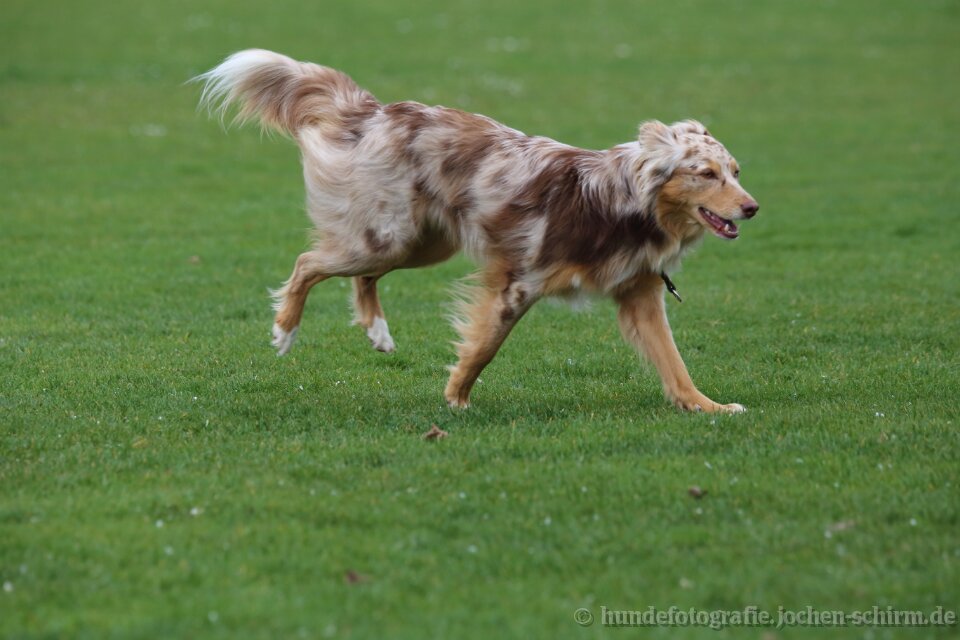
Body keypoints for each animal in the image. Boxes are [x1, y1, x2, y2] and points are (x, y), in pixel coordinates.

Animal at [196, 50, 759, 412]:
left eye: (735, 170)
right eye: (706, 173)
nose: (752, 208)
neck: (624, 201)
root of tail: (376, 111)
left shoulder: (640, 295)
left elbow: (674, 364)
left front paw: (706, 407)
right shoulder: (517, 283)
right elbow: (484, 348)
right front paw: (457, 400)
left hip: (420, 244)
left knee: (362, 278)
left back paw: (377, 331)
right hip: (388, 236)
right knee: (308, 263)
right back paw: (286, 330)